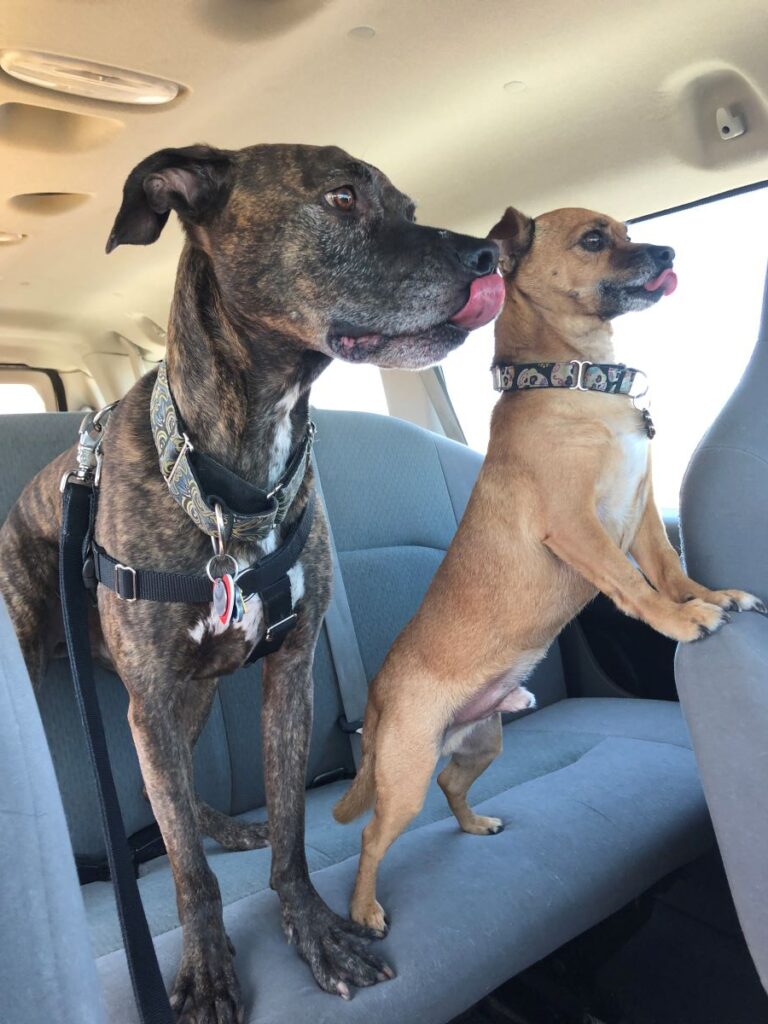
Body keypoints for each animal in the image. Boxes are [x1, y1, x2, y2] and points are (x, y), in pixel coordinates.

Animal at [0, 146, 505, 1024]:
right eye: (342, 198)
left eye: (409, 206)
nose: (490, 255)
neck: (236, 470)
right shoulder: (153, 694)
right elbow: (188, 876)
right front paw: (206, 970)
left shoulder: (288, 675)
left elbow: (289, 833)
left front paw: (314, 931)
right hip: (59, 668)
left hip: (188, 696)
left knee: (164, 790)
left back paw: (220, 827)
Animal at [333, 207, 765, 937]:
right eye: (594, 240)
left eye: (629, 232)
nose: (668, 250)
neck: (574, 377)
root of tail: (379, 695)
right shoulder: (576, 526)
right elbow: (633, 586)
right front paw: (680, 623)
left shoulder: (641, 512)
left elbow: (669, 568)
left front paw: (707, 596)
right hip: (405, 776)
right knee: (371, 836)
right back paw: (364, 910)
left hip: (482, 743)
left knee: (453, 784)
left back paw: (474, 824)